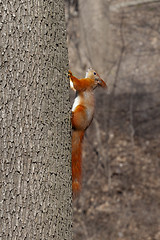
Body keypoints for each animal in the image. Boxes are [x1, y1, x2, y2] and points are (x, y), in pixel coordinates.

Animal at [68, 68, 107, 197]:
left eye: (95, 73)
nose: (89, 68)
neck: (92, 83)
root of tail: (82, 129)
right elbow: (73, 87)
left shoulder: (85, 84)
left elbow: (77, 84)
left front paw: (70, 73)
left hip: (80, 111)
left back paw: (71, 116)